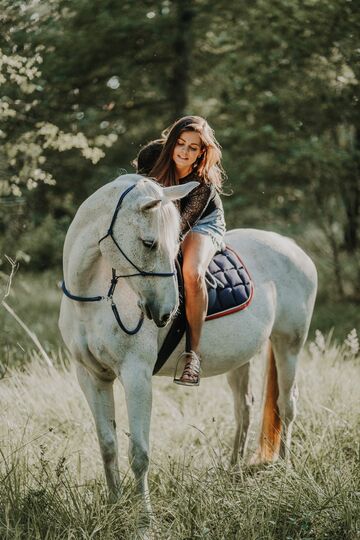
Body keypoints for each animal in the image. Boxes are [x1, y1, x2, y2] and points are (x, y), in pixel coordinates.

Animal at [59, 176, 318, 524]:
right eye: (149, 243)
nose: (166, 311)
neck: (95, 297)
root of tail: (291, 246)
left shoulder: (136, 376)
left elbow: (139, 453)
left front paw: (145, 519)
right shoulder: (90, 377)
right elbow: (108, 446)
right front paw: (115, 507)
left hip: (289, 344)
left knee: (286, 405)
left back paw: (285, 468)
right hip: (242, 358)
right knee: (244, 408)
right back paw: (232, 471)